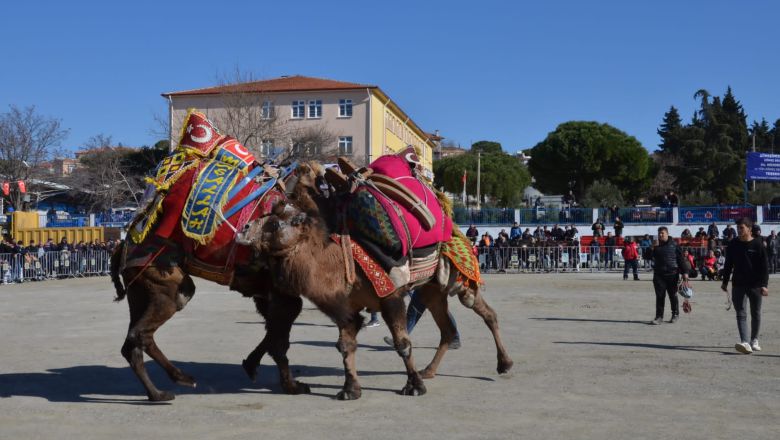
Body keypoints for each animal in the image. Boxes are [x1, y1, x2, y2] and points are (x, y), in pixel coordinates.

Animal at [241, 200, 516, 402]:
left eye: (276, 223)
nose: (244, 228)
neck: (338, 265)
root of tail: (457, 230)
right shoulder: (346, 307)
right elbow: (345, 345)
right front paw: (350, 390)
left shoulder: (389, 296)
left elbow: (402, 344)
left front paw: (413, 387)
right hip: (431, 289)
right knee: (447, 329)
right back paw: (429, 371)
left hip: (459, 279)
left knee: (486, 313)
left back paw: (504, 364)